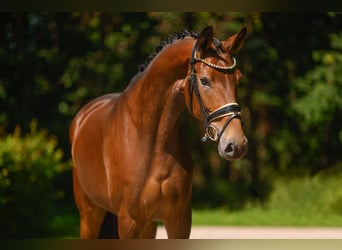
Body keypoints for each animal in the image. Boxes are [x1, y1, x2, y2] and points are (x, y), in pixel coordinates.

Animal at [69, 25, 248, 238]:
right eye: (204, 81)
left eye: (238, 79)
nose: (236, 144)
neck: (152, 141)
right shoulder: (129, 221)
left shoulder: (179, 219)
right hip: (90, 215)